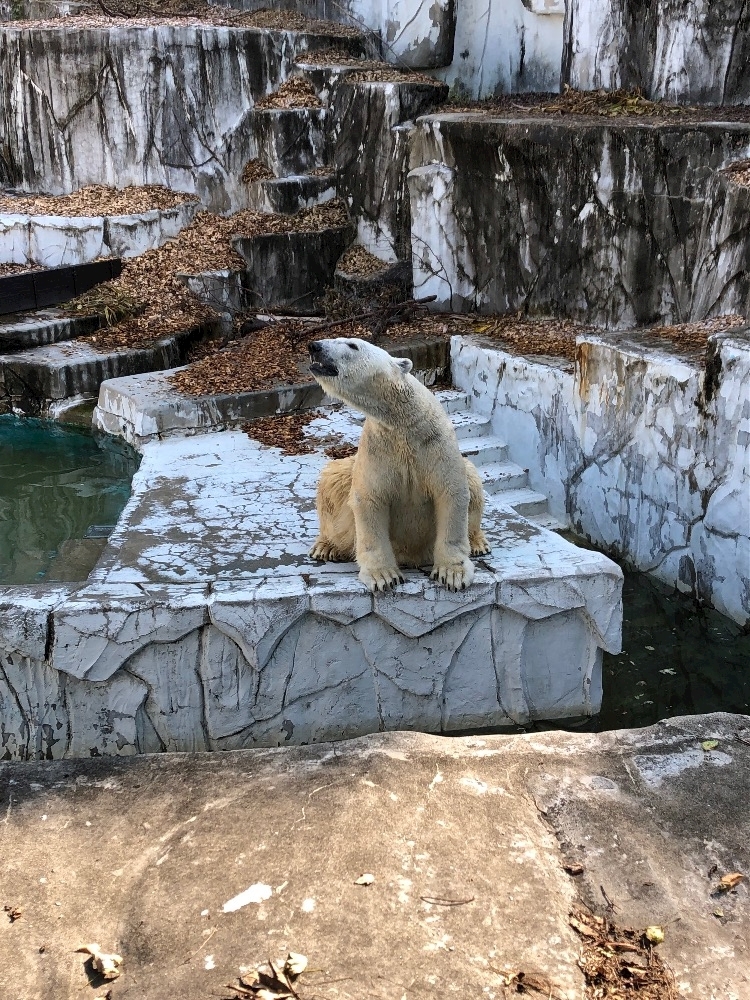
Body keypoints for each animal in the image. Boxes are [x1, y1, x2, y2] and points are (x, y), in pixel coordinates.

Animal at [308, 336, 490, 588]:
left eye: (352, 345)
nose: (314, 346)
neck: (404, 423)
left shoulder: (435, 445)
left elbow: (451, 493)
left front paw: (452, 573)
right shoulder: (379, 448)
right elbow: (369, 499)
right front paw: (384, 577)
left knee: (473, 478)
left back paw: (478, 543)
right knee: (332, 479)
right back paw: (325, 547)